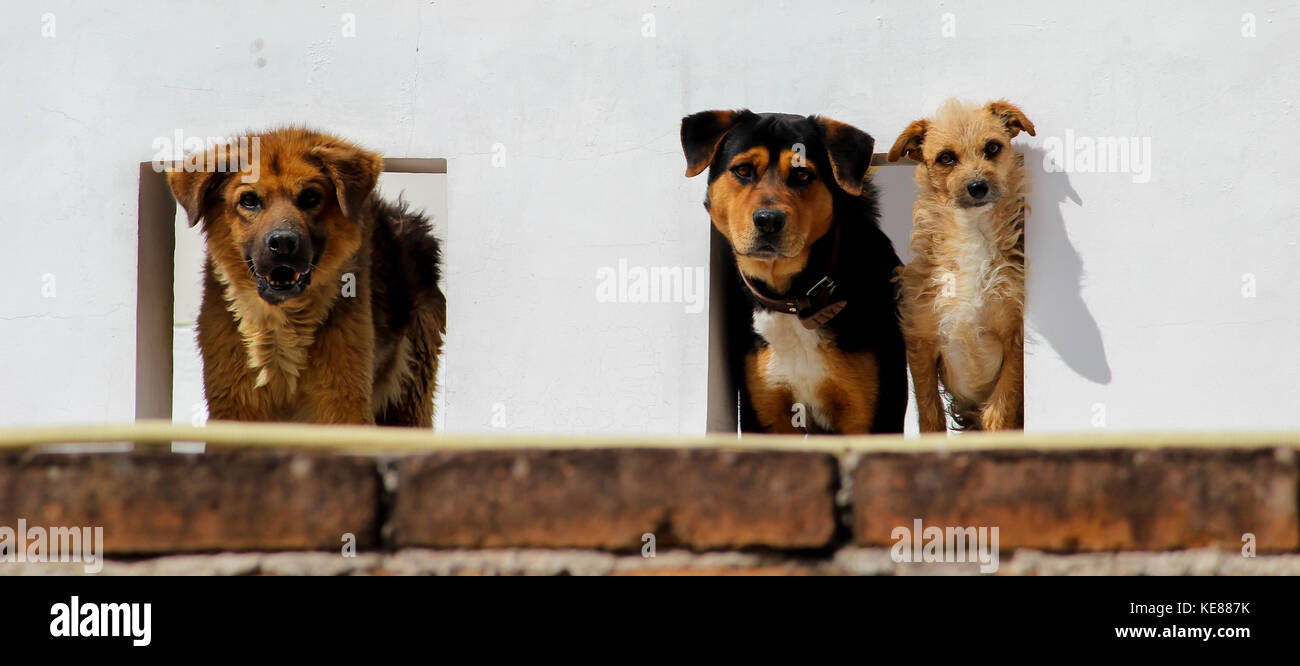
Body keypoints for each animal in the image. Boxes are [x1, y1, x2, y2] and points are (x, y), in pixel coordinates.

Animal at [167, 127, 447, 424]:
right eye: (249, 200)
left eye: (311, 197)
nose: (282, 243)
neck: (282, 321)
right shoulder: (235, 404)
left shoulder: (342, 402)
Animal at [681, 110, 904, 431]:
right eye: (743, 170)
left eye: (802, 175)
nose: (768, 220)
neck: (793, 298)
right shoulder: (764, 410)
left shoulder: (870, 414)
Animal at [889, 98, 1029, 431]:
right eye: (946, 158)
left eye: (992, 147)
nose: (978, 186)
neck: (972, 236)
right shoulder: (920, 341)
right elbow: (930, 414)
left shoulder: (1013, 341)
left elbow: (1000, 412)